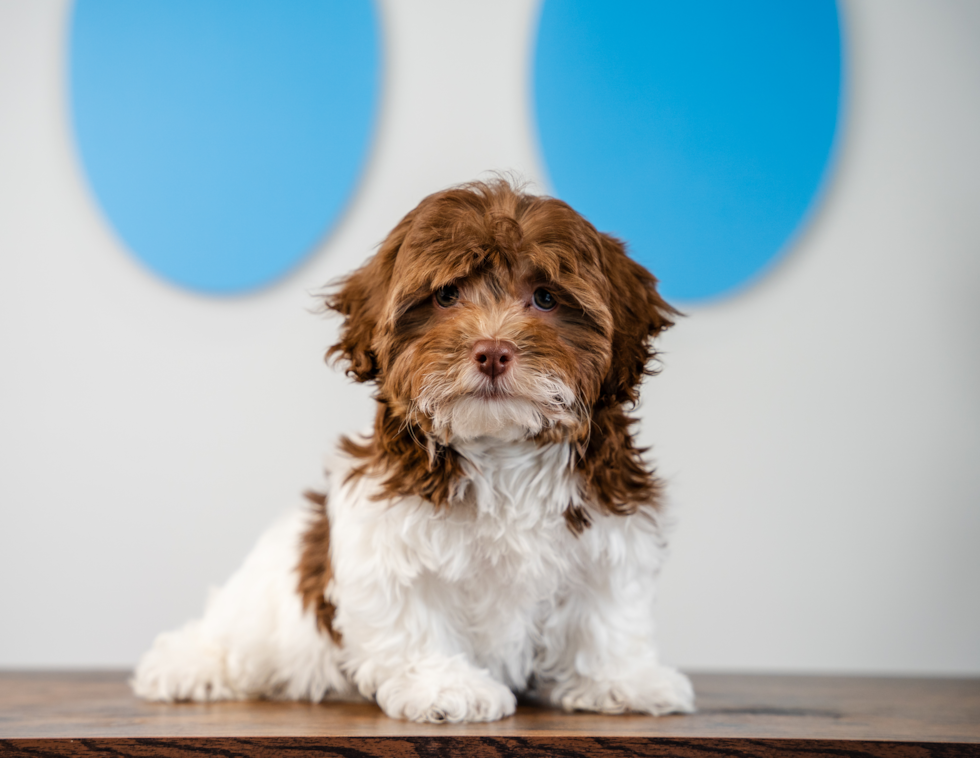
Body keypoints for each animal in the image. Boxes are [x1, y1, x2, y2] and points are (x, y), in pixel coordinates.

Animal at [132, 181, 696, 728]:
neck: (500, 445)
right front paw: (445, 687)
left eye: (545, 297)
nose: (493, 351)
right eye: (446, 295)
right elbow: (411, 614)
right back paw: (186, 666)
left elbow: (607, 611)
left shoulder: (611, 529)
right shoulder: (387, 535)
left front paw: (622, 680)